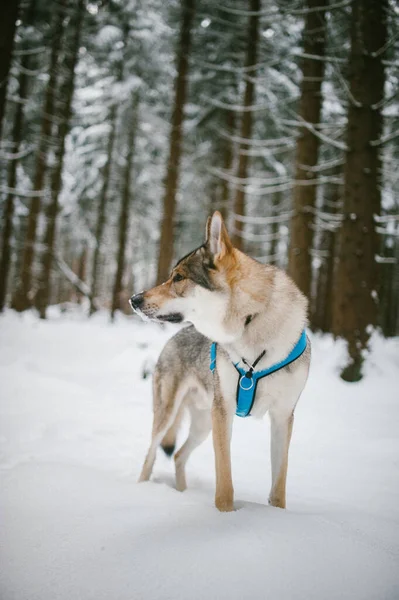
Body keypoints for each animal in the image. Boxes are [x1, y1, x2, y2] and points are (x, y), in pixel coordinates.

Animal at [131, 211, 312, 510]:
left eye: (178, 277)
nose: (133, 299)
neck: (252, 325)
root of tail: (174, 337)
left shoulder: (282, 417)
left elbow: (278, 488)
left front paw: (277, 515)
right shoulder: (223, 411)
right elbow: (225, 481)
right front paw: (226, 513)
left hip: (203, 425)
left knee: (178, 455)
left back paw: (182, 494)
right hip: (172, 415)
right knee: (150, 456)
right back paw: (140, 491)